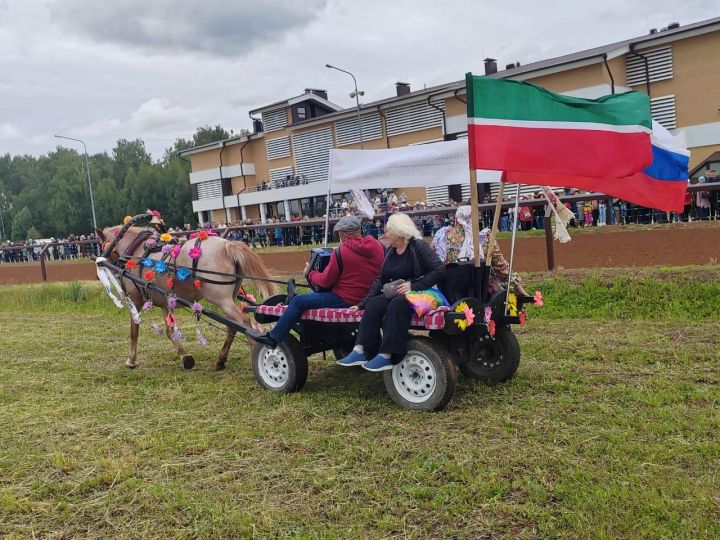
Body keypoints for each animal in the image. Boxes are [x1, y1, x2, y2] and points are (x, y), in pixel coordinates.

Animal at [95, 225, 276, 372]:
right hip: (229, 297)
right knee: (233, 326)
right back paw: (221, 360)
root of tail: (227, 245)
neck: (136, 251)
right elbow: (170, 331)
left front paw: (131, 360)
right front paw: (185, 357)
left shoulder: (135, 299)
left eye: (101, 245)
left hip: (220, 298)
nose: (98, 274)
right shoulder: (164, 301)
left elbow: (134, 330)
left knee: (245, 323)